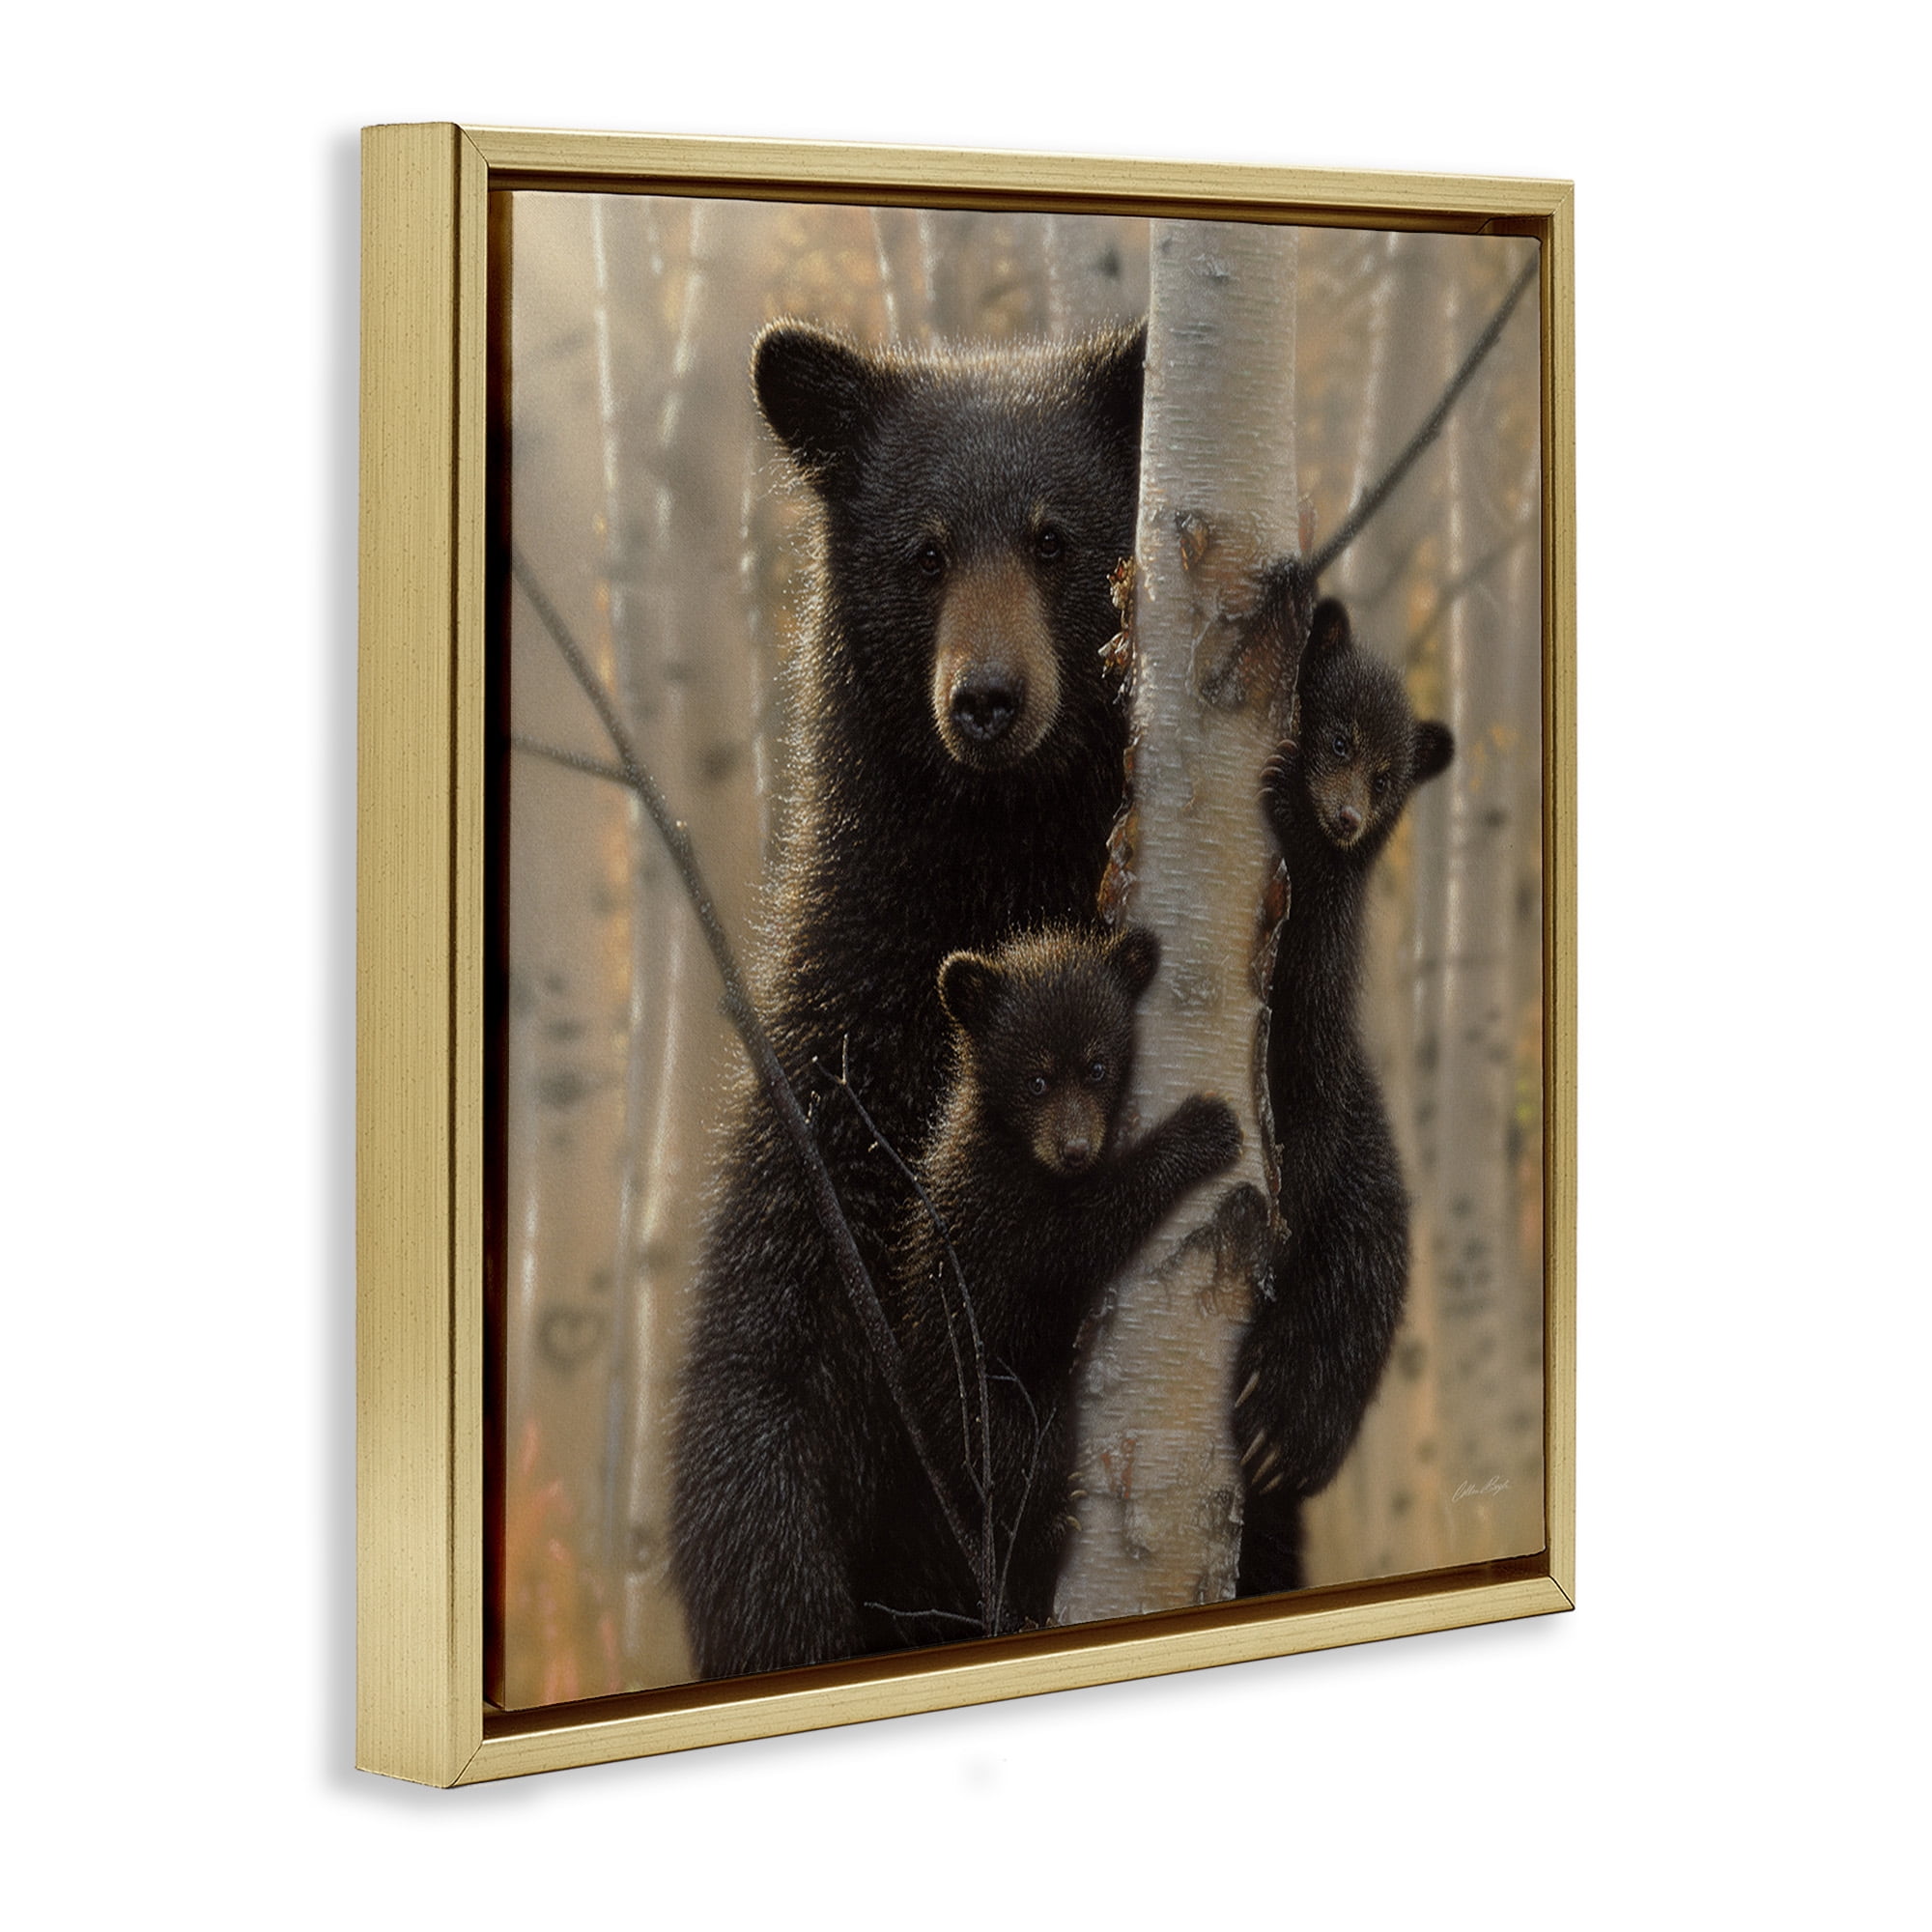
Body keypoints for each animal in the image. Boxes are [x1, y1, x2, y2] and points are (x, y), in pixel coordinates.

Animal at [669, 320, 1148, 1680]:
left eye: (1054, 537)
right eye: (922, 551)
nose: (985, 698)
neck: (992, 868)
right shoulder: (834, 1090)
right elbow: (761, 1387)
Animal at [866, 926, 1243, 1649]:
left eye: (1096, 1066)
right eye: (1035, 1078)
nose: (1074, 1148)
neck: (1019, 1150)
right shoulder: (1004, 1211)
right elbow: (1080, 1237)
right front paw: (1202, 1131)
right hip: (983, 1396)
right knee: (1017, 1461)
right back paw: (1046, 1527)